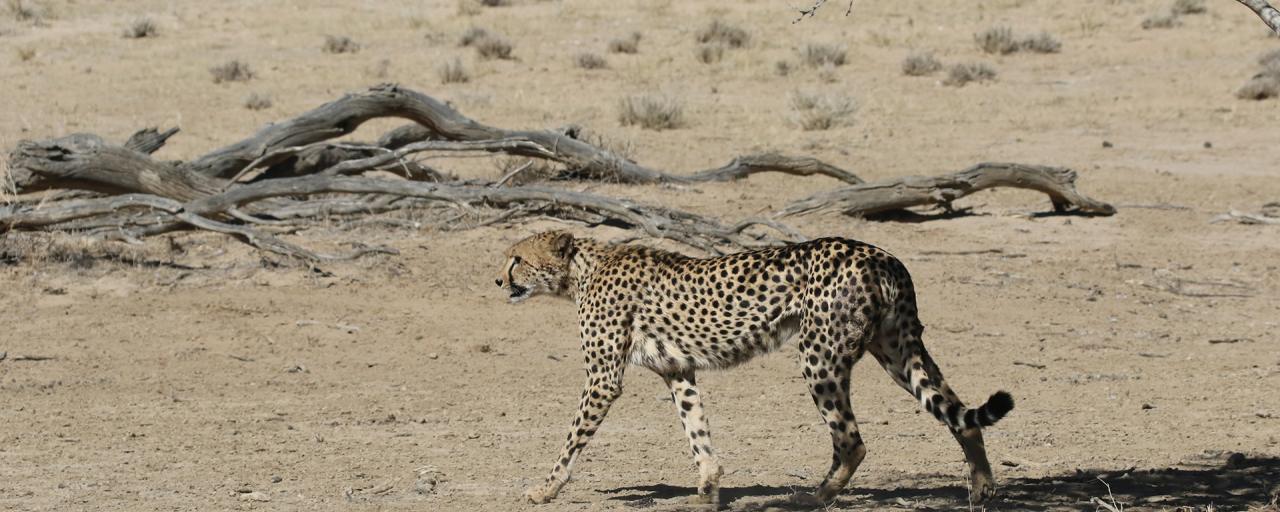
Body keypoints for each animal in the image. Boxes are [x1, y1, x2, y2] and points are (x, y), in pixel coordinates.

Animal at [494, 231, 1013, 506]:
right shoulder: (678, 370)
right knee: (960, 415)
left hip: (819, 355)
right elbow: (697, 431)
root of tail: (883, 256)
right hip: (897, 351)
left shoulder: (603, 380)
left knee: (852, 441)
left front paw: (545, 489)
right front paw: (707, 488)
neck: (582, 270)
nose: (498, 280)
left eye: (517, 258)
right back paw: (983, 489)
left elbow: (570, 441)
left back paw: (811, 499)